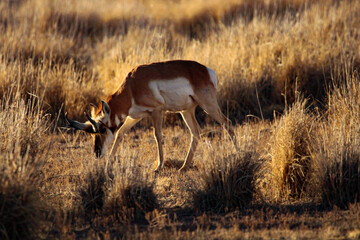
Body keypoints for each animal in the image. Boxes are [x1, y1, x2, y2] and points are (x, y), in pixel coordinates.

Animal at [65, 60, 236, 172]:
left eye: (102, 129)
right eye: (91, 133)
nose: (97, 153)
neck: (132, 87)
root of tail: (207, 70)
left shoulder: (157, 111)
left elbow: (157, 135)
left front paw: (159, 167)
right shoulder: (135, 117)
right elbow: (120, 134)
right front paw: (108, 165)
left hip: (208, 105)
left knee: (227, 123)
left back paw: (237, 154)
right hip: (186, 111)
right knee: (196, 132)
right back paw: (183, 167)